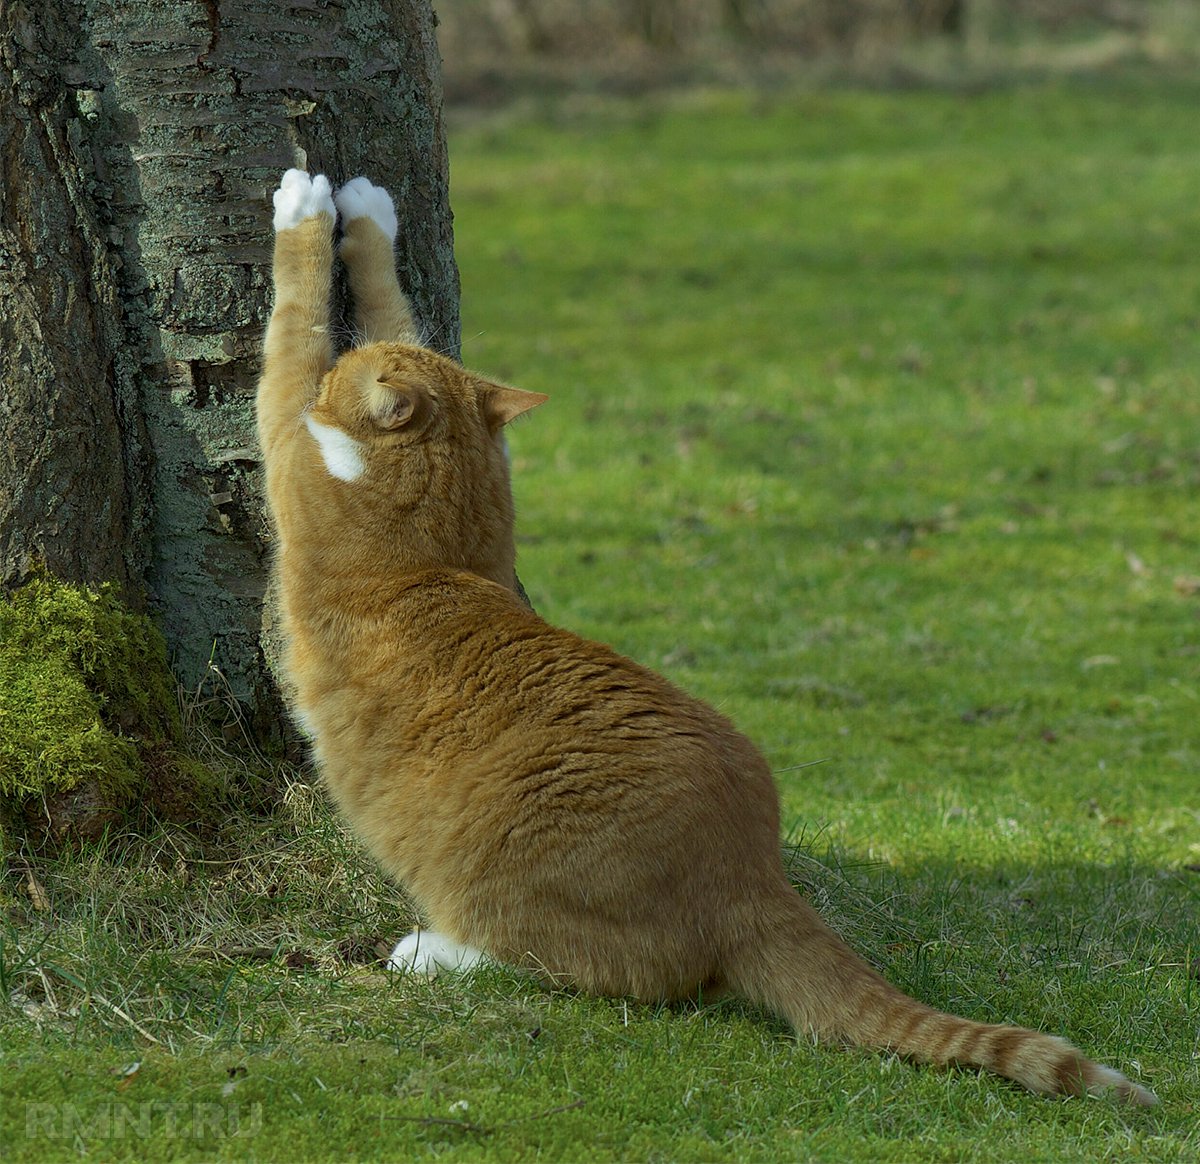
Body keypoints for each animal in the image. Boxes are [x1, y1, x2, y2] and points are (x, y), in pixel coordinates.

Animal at [260, 168, 1152, 1104]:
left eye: (340, 381)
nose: (340, 383)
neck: (437, 544)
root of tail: (751, 877)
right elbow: (397, 308)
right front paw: (369, 216)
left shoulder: (288, 436)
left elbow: (294, 331)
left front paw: (306, 211)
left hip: (512, 894)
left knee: (596, 971)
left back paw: (432, 953)